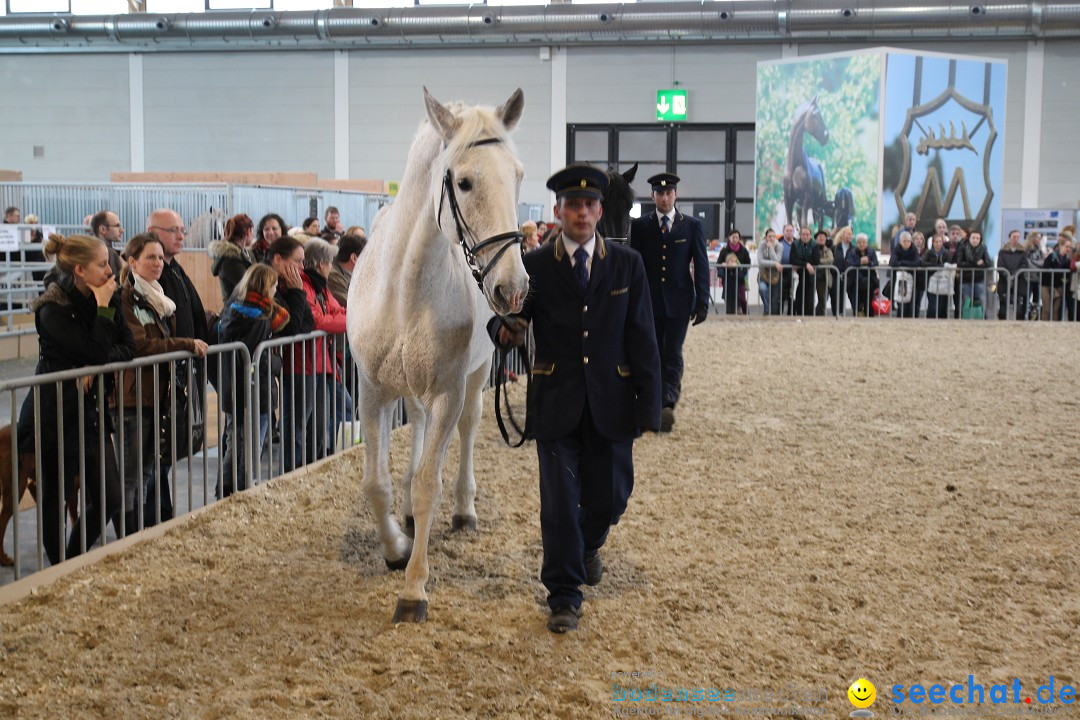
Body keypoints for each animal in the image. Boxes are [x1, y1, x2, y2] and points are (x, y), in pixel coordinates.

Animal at [347, 87, 529, 621]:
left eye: (517, 175)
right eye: (464, 182)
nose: (513, 288)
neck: (403, 289)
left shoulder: (449, 390)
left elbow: (430, 483)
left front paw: (413, 588)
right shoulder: (373, 391)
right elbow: (376, 482)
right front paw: (395, 549)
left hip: (477, 374)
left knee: (466, 431)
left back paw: (464, 509)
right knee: (419, 434)